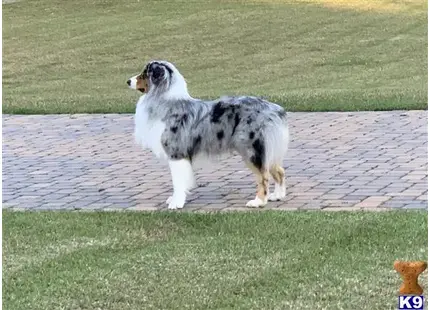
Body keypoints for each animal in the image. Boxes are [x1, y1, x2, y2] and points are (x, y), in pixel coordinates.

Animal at [127, 60, 288, 209]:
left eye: (144, 73)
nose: (128, 81)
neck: (165, 100)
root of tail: (273, 109)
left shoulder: (176, 152)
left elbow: (177, 181)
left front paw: (176, 203)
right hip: (267, 149)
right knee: (279, 171)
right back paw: (277, 195)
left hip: (251, 149)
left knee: (263, 176)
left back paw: (258, 201)